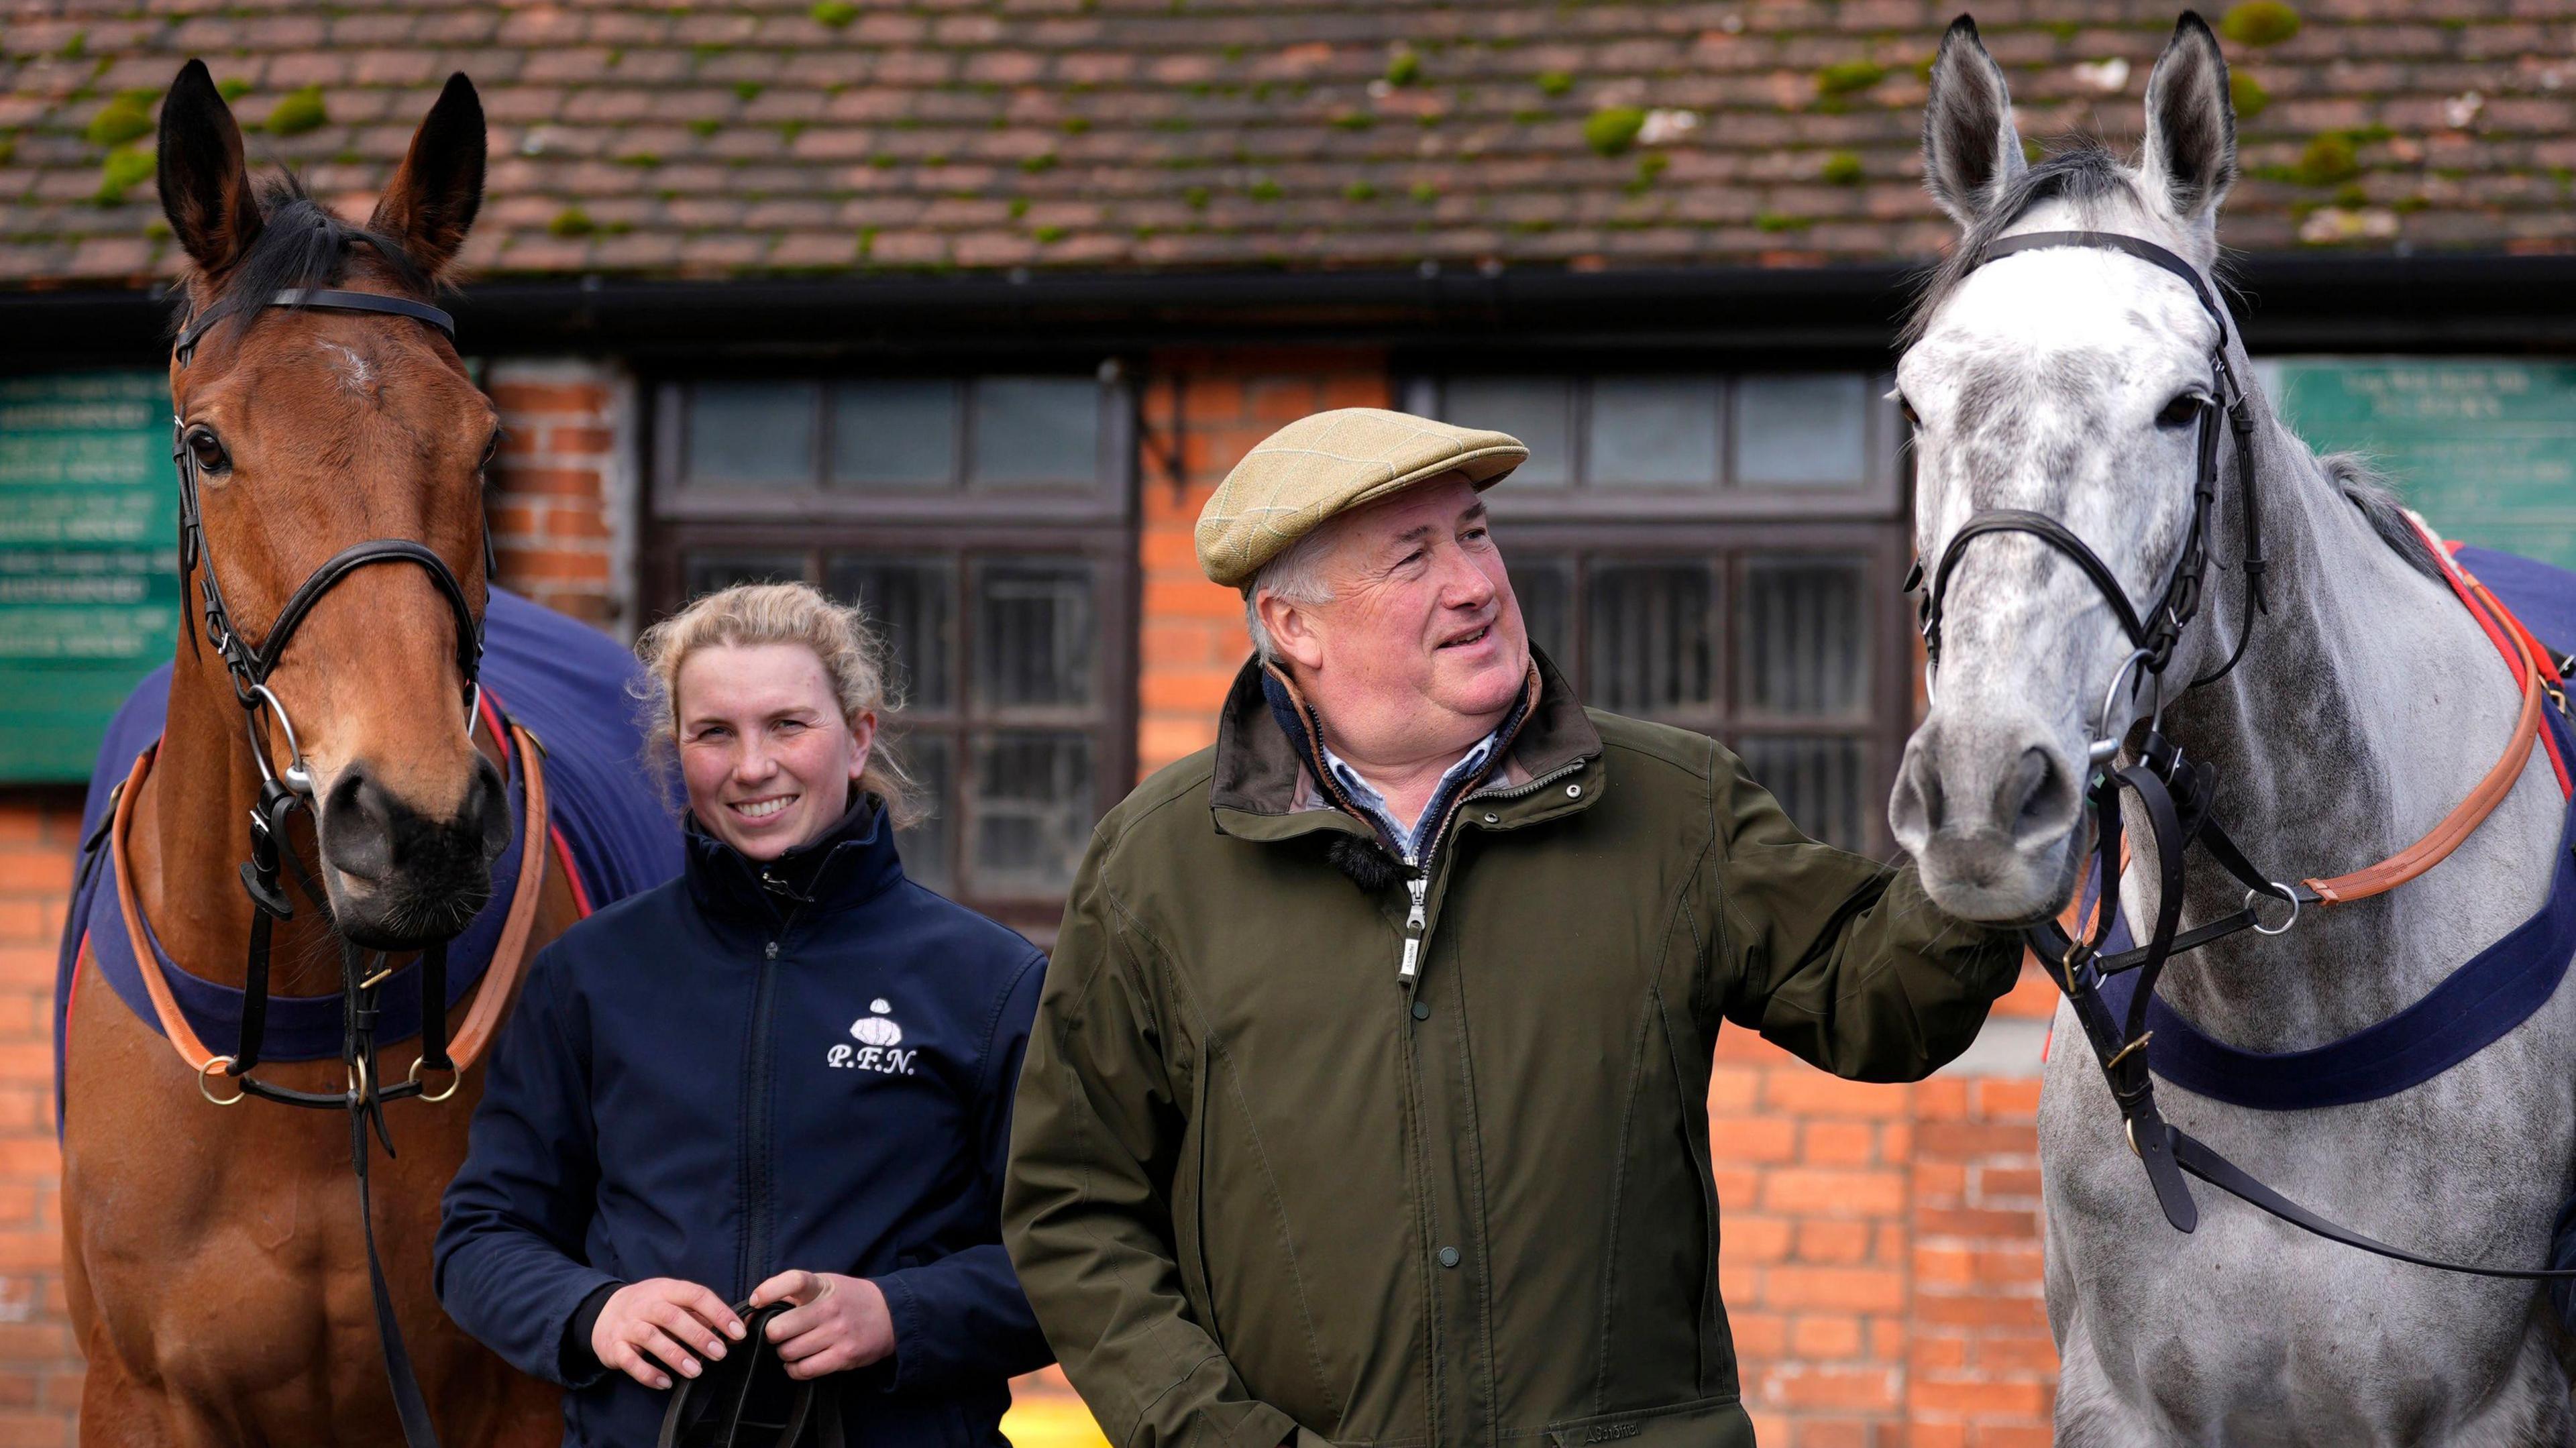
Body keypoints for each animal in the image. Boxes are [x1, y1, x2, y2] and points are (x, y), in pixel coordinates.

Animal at [1896, 14, 2576, 1443]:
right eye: (1915, 403)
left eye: (2183, 406)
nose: (1983, 786)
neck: (2299, 999)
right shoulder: (2122, 1399)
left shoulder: (2491, 1405)